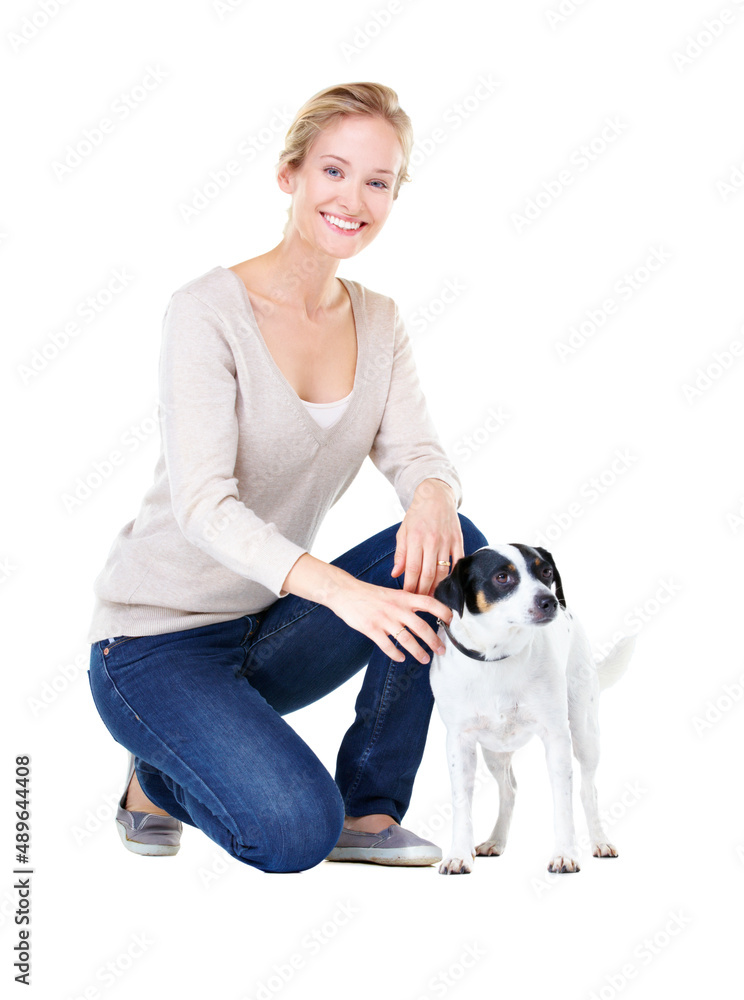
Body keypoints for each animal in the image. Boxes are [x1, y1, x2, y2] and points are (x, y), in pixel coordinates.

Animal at [430, 548, 632, 876]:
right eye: (502, 577)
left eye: (546, 572)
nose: (549, 601)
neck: (497, 657)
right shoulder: (459, 742)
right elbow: (462, 804)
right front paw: (459, 854)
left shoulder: (557, 738)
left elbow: (563, 804)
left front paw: (565, 854)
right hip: (494, 751)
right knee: (509, 790)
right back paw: (496, 841)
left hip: (585, 733)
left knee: (588, 790)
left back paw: (600, 841)